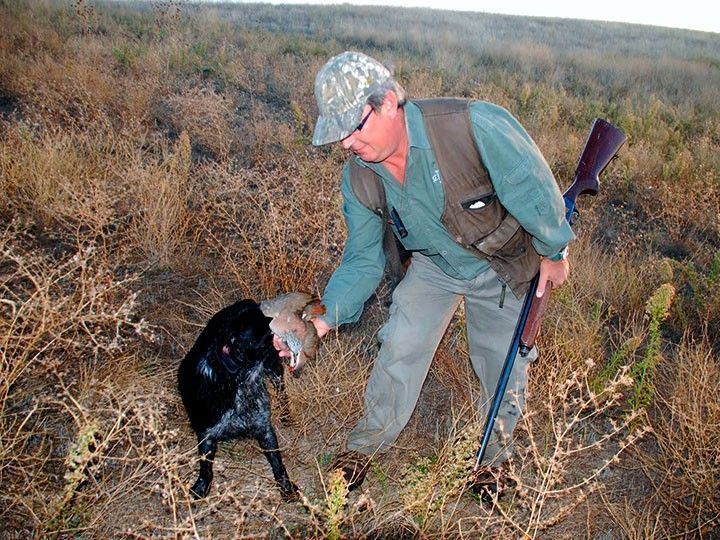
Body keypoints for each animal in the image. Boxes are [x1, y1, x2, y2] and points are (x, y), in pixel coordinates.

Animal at [179, 300, 296, 498]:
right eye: (264, 332)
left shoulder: (264, 428)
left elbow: (277, 463)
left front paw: (286, 487)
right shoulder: (206, 435)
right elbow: (206, 469)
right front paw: (201, 488)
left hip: (274, 368)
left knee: (281, 391)